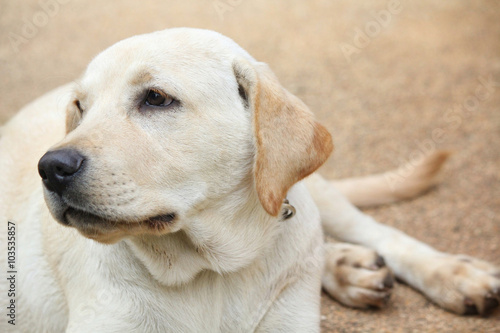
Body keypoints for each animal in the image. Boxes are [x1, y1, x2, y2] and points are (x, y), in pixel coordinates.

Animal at [0, 27, 498, 330]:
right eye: (80, 108)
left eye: (156, 98)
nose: (52, 167)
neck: (212, 272)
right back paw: (345, 266)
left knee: (379, 232)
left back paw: (453, 274)